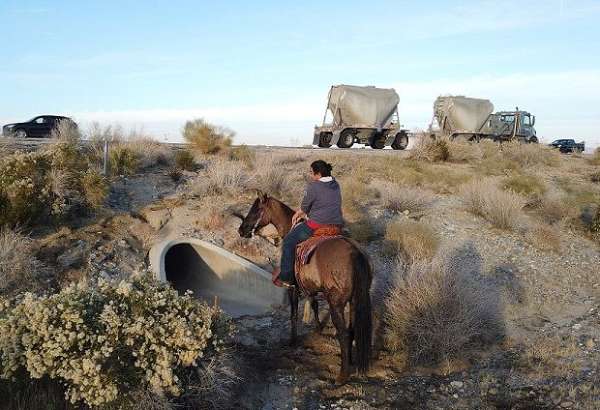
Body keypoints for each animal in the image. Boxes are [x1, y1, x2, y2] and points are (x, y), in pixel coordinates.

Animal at [236, 192, 370, 384]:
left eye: (256, 209)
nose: (241, 230)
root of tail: (354, 252)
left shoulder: (293, 288)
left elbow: (293, 315)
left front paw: (292, 341)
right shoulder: (311, 288)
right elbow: (313, 305)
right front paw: (318, 328)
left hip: (336, 303)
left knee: (344, 334)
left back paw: (342, 375)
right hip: (354, 301)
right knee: (352, 331)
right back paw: (350, 362)